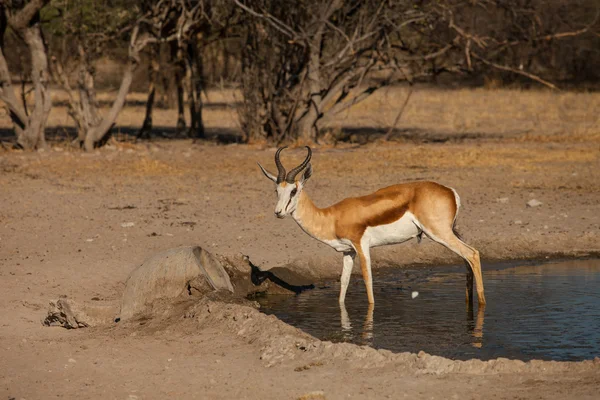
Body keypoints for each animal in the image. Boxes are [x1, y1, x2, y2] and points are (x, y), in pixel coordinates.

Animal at [258, 145, 488, 308]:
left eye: (294, 191)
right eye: (276, 191)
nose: (278, 212)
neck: (332, 217)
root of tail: (450, 191)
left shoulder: (361, 246)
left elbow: (368, 280)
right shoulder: (347, 252)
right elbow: (343, 284)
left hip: (439, 233)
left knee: (473, 253)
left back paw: (482, 305)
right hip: (450, 233)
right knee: (466, 259)